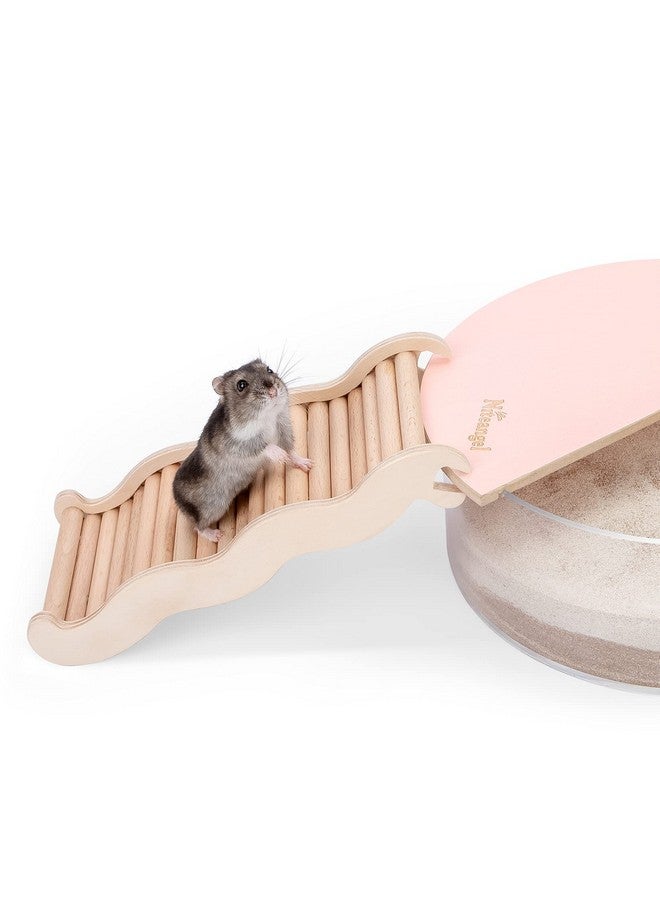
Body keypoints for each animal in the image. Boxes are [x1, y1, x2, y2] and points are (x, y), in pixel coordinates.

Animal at [173, 359, 312, 542]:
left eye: (269, 370)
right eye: (241, 385)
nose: (273, 391)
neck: (266, 417)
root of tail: (176, 498)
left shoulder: (283, 426)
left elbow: (291, 450)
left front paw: (307, 464)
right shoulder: (237, 445)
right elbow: (264, 446)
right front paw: (280, 456)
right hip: (212, 506)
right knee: (198, 527)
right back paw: (216, 535)